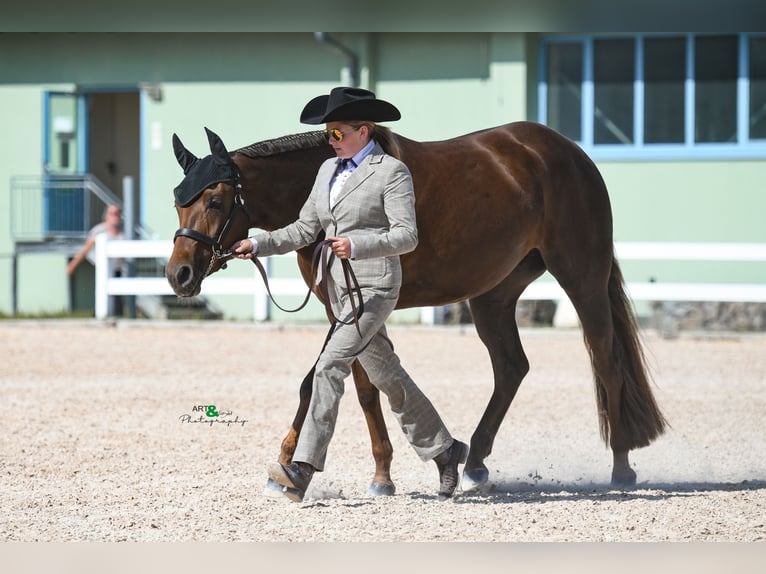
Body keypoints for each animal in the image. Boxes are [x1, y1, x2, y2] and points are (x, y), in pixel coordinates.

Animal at [167, 122, 667, 495]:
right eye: (177, 201)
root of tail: (571, 154)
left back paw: (621, 467)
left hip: (582, 277)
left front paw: (294, 466)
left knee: (606, 360)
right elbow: (360, 388)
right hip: (494, 295)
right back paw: (475, 462)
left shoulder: (356, 307)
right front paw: (375, 475)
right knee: (511, 367)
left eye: (215, 200)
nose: (179, 275)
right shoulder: (341, 308)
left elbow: (322, 382)